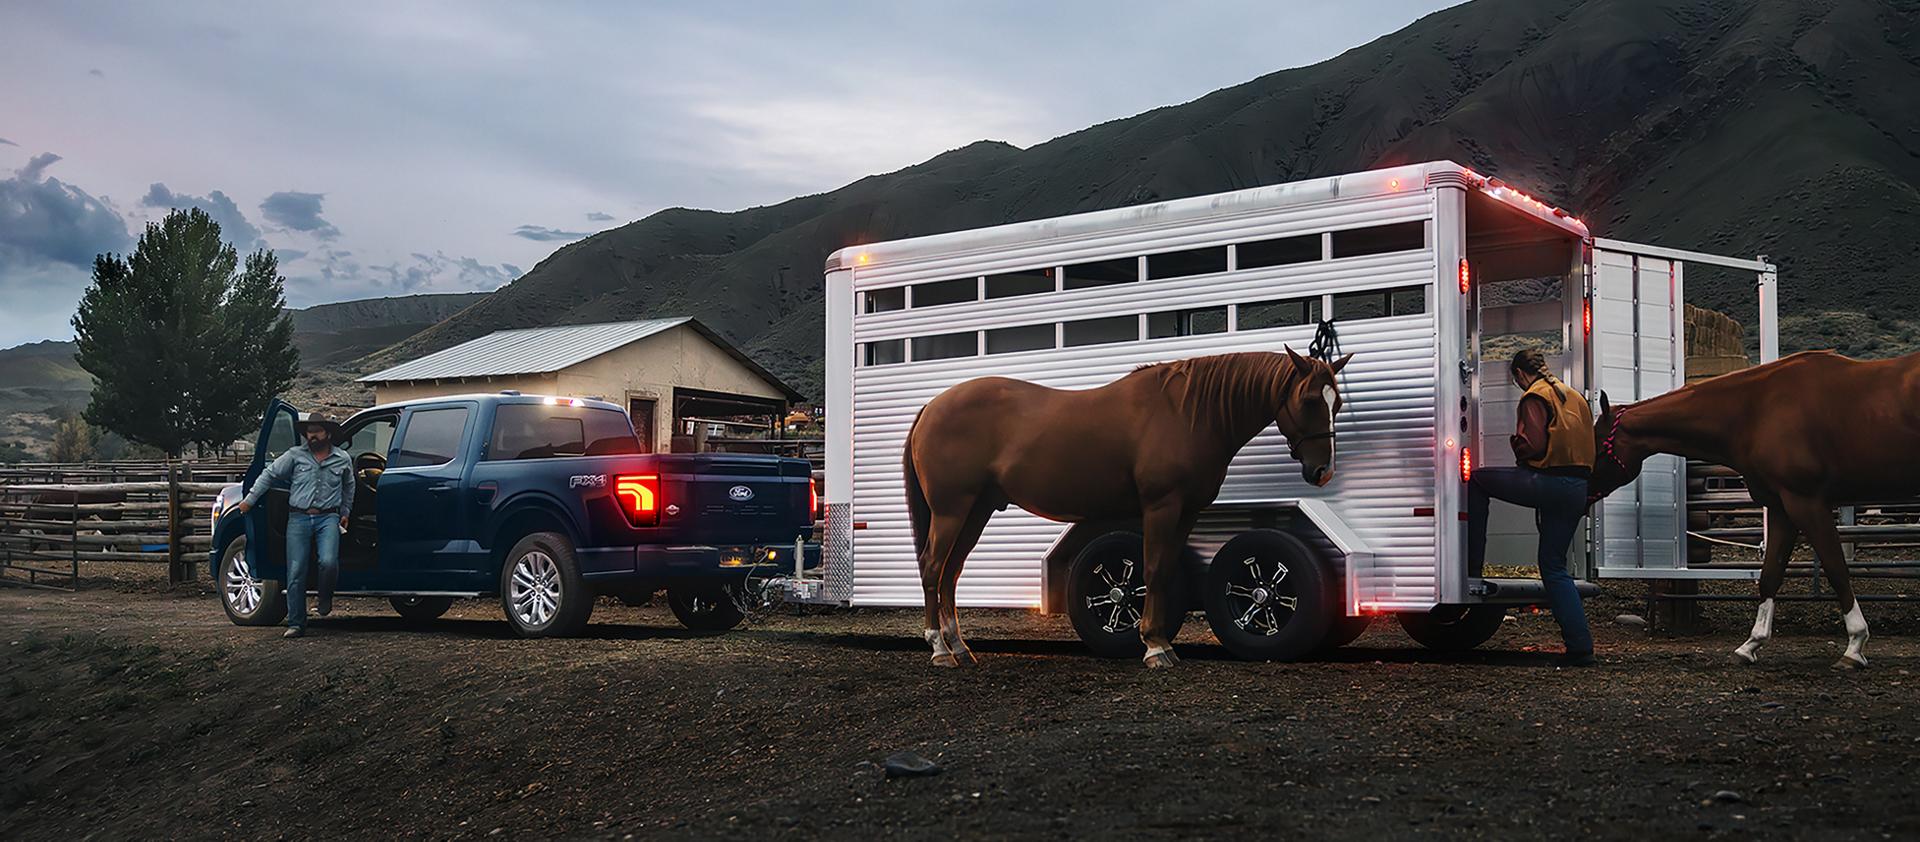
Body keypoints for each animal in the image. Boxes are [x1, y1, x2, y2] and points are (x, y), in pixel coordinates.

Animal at [903, 348, 1353, 669]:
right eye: (1310, 400)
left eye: (1337, 403)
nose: (1322, 471)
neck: (1187, 412)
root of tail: (931, 407)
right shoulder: (1160, 506)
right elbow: (1152, 569)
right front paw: (1154, 648)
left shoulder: (1186, 512)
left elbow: (1166, 570)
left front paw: (1162, 643)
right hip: (951, 510)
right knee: (932, 566)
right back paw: (939, 649)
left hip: (975, 511)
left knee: (951, 571)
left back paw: (959, 646)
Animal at [1587, 350, 1920, 669]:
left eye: (1597, 446)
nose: (1584, 492)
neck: (1755, 412)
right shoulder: (1782, 507)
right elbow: (1770, 575)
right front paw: (1750, 645)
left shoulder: (1807, 503)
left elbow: (1837, 569)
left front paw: (1854, 646)